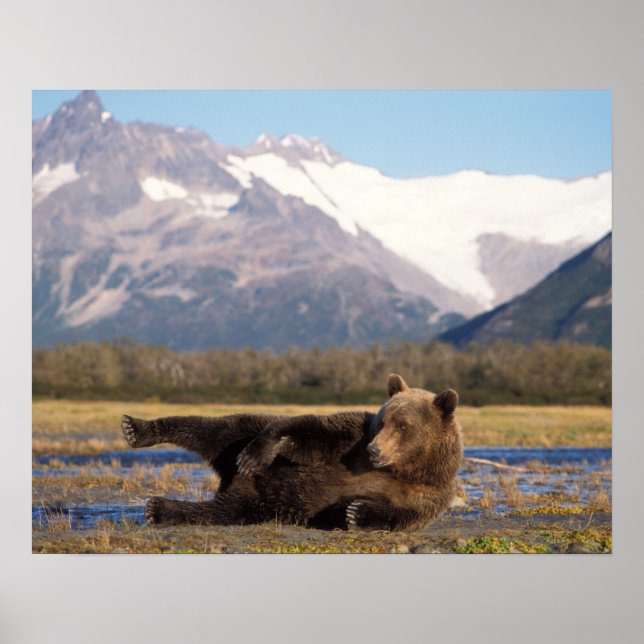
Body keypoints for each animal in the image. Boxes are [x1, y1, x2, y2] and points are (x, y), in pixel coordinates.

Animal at [120, 374, 463, 531]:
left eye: (403, 425)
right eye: (383, 420)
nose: (375, 449)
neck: (403, 468)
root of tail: (232, 481)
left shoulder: (430, 491)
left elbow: (405, 516)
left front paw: (355, 511)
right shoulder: (352, 441)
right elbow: (311, 434)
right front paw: (257, 453)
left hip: (254, 506)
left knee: (217, 512)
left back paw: (160, 508)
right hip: (239, 441)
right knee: (217, 428)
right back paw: (137, 429)